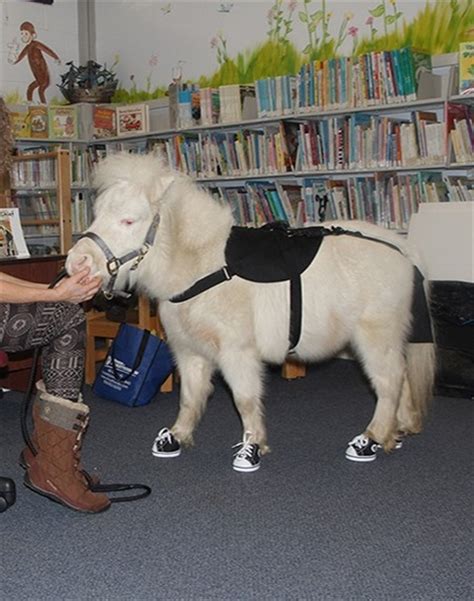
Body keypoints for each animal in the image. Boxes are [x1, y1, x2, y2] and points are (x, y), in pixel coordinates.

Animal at [66, 152, 436, 472]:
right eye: (97, 214)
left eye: (129, 220)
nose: (76, 263)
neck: (204, 266)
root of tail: (402, 250)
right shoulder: (189, 351)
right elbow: (190, 396)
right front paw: (176, 437)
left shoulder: (237, 352)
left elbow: (245, 399)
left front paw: (251, 448)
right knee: (401, 378)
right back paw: (397, 432)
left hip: (376, 337)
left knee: (388, 382)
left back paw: (371, 439)